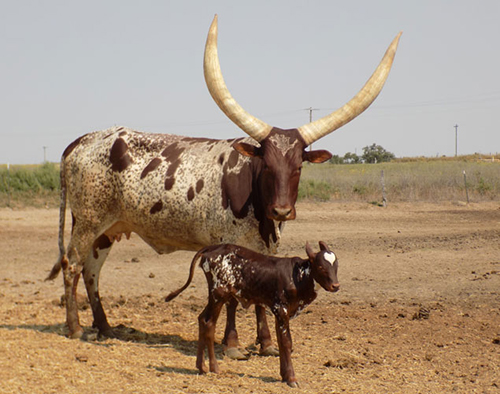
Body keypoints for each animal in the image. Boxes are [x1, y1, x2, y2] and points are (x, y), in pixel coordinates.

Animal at [47, 14, 402, 358]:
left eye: (298, 166)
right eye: (266, 164)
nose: (282, 210)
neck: (259, 206)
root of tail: (81, 141)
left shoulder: (264, 248)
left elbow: (260, 294)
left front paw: (266, 344)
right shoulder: (227, 244)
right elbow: (232, 297)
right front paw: (232, 345)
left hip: (107, 229)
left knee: (92, 271)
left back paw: (105, 327)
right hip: (88, 221)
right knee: (73, 265)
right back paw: (76, 328)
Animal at [164, 240, 340, 388]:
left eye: (336, 266)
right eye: (321, 267)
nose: (335, 285)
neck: (297, 276)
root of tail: (212, 248)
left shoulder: (280, 313)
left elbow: (281, 342)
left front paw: (284, 375)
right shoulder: (281, 309)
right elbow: (286, 343)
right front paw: (291, 378)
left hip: (216, 296)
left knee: (202, 320)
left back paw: (201, 367)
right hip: (218, 294)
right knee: (208, 323)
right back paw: (214, 367)